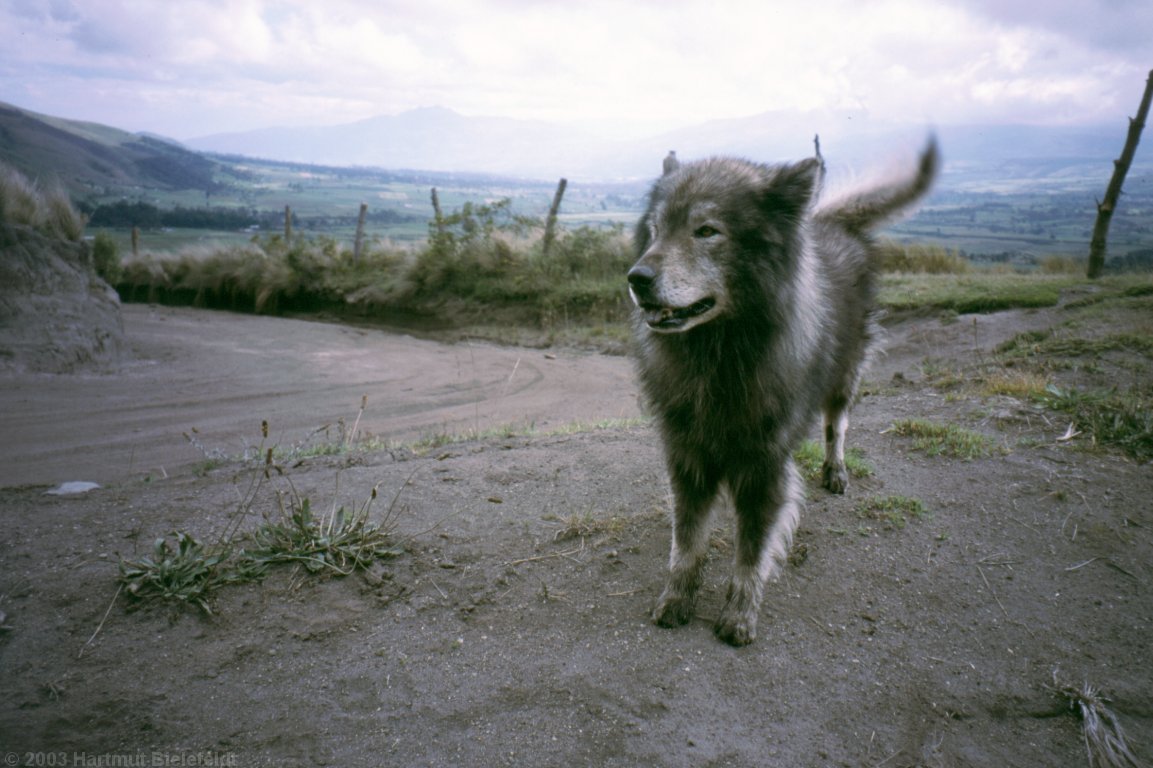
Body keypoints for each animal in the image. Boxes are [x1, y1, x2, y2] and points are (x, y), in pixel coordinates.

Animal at [631, 136, 936, 641]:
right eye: (655, 231)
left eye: (707, 231)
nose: (636, 279)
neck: (722, 354)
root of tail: (829, 221)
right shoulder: (688, 457)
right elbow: (687, 543)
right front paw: (677, 598)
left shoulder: (763, 467)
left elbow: (751, 551)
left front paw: (739, 615)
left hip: (844, 379)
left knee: (836, 427)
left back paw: (836, 470)